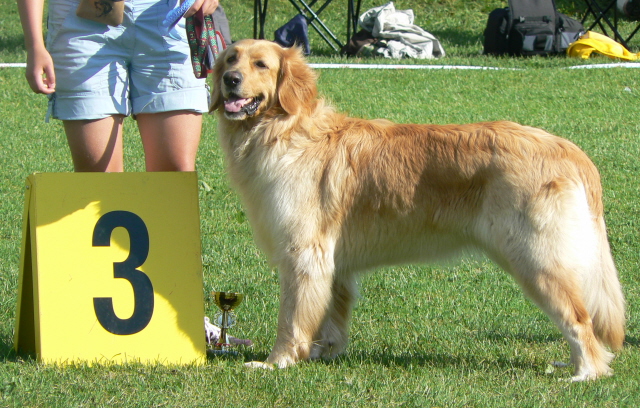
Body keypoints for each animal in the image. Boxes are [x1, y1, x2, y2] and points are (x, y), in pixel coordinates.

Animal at [210, 39, 624, 380]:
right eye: (230, 58)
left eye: (261, 64)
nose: (230, 79)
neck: (284, 130)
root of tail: (567, 150)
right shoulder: (333, 264)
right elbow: (331, 315)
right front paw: (321, 353)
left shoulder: (303, 255)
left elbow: (292, 318)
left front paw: (276, 361)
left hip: (536, 258)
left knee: (580, 319)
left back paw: (585, 373)